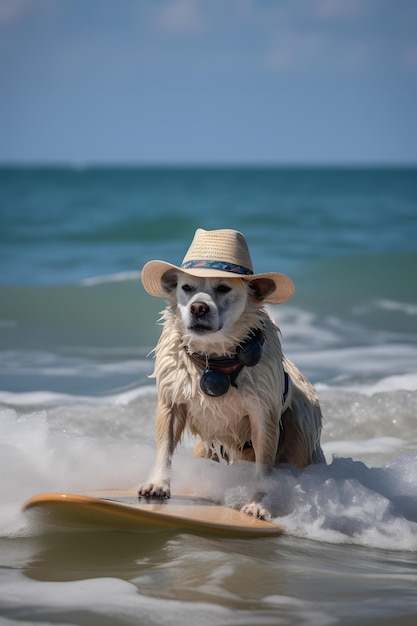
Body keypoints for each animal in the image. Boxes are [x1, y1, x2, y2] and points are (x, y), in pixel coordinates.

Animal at [138, 228, 324, 516]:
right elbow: (165, 446)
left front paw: (258, 504)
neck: (216, 358)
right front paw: (158, 484)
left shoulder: (263, 413)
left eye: (223, 288)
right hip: (207, 450)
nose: (198, 307)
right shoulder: (172, 401)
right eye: (186, 288)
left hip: (301, 423)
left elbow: (263, 466)